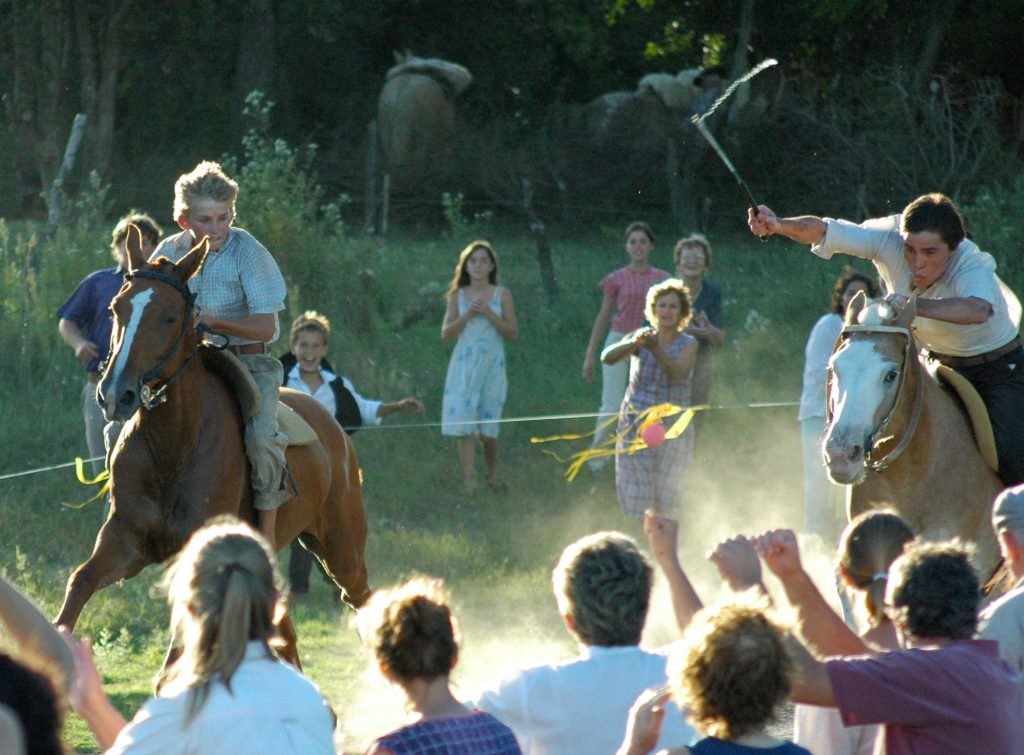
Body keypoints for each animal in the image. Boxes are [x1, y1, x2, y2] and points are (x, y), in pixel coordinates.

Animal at [54, 229, 370, 659]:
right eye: (116, 308)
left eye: (170, 316)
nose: (116, 393)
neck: (173, 445)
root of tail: (333, 428)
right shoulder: (124, 541)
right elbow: (79, 583)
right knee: (287, 633)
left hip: (343, 547)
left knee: (361, 598)